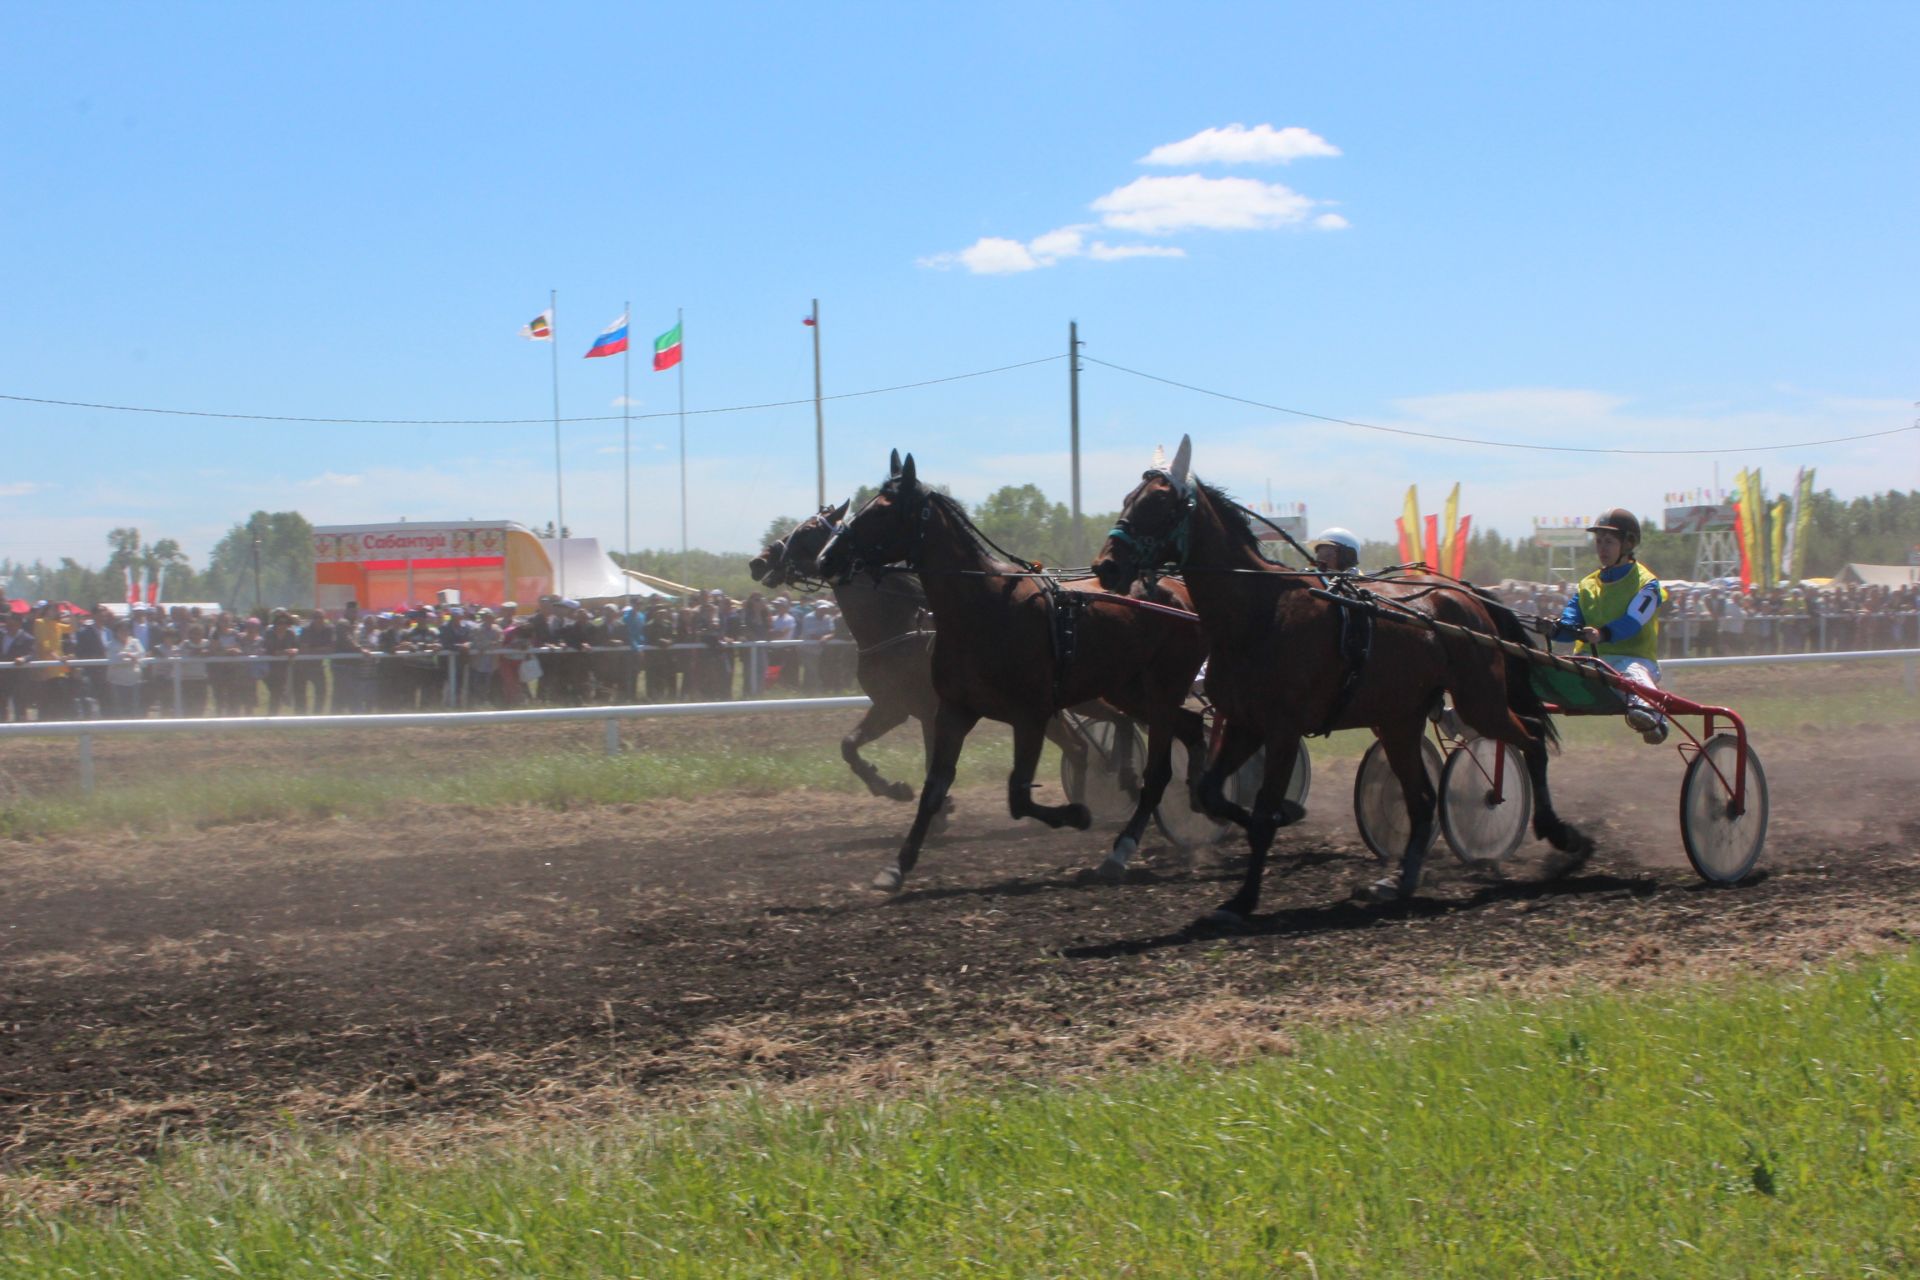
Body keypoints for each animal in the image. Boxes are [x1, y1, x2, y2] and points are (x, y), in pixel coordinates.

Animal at [814, 452, 1205, 890]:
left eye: (880, 511)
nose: (826, 557)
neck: (983, 608)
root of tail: (1179, 591)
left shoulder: (1030, 715)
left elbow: (1019, 796)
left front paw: (1077, 813)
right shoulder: (952, 711)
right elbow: (934, 788)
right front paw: (897, 865)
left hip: (1160, 688)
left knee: (1156, 764)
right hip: (1129, 690)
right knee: (1189, 728)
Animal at [1098, 435, 1589, 924]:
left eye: (1159, 504)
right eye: (1127, 498)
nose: (1106, 567)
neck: (1259, 611)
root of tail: (1465, 595)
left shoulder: (1282, 729)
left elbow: (1260, 813)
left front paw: (1243, 898)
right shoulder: (1243, 722)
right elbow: (1211, 793)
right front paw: (1280, 817)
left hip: (1478, 700)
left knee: (1531, 739)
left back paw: (1563, 835)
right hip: (1399, 719)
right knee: (1422, 799)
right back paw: (1401, 880)